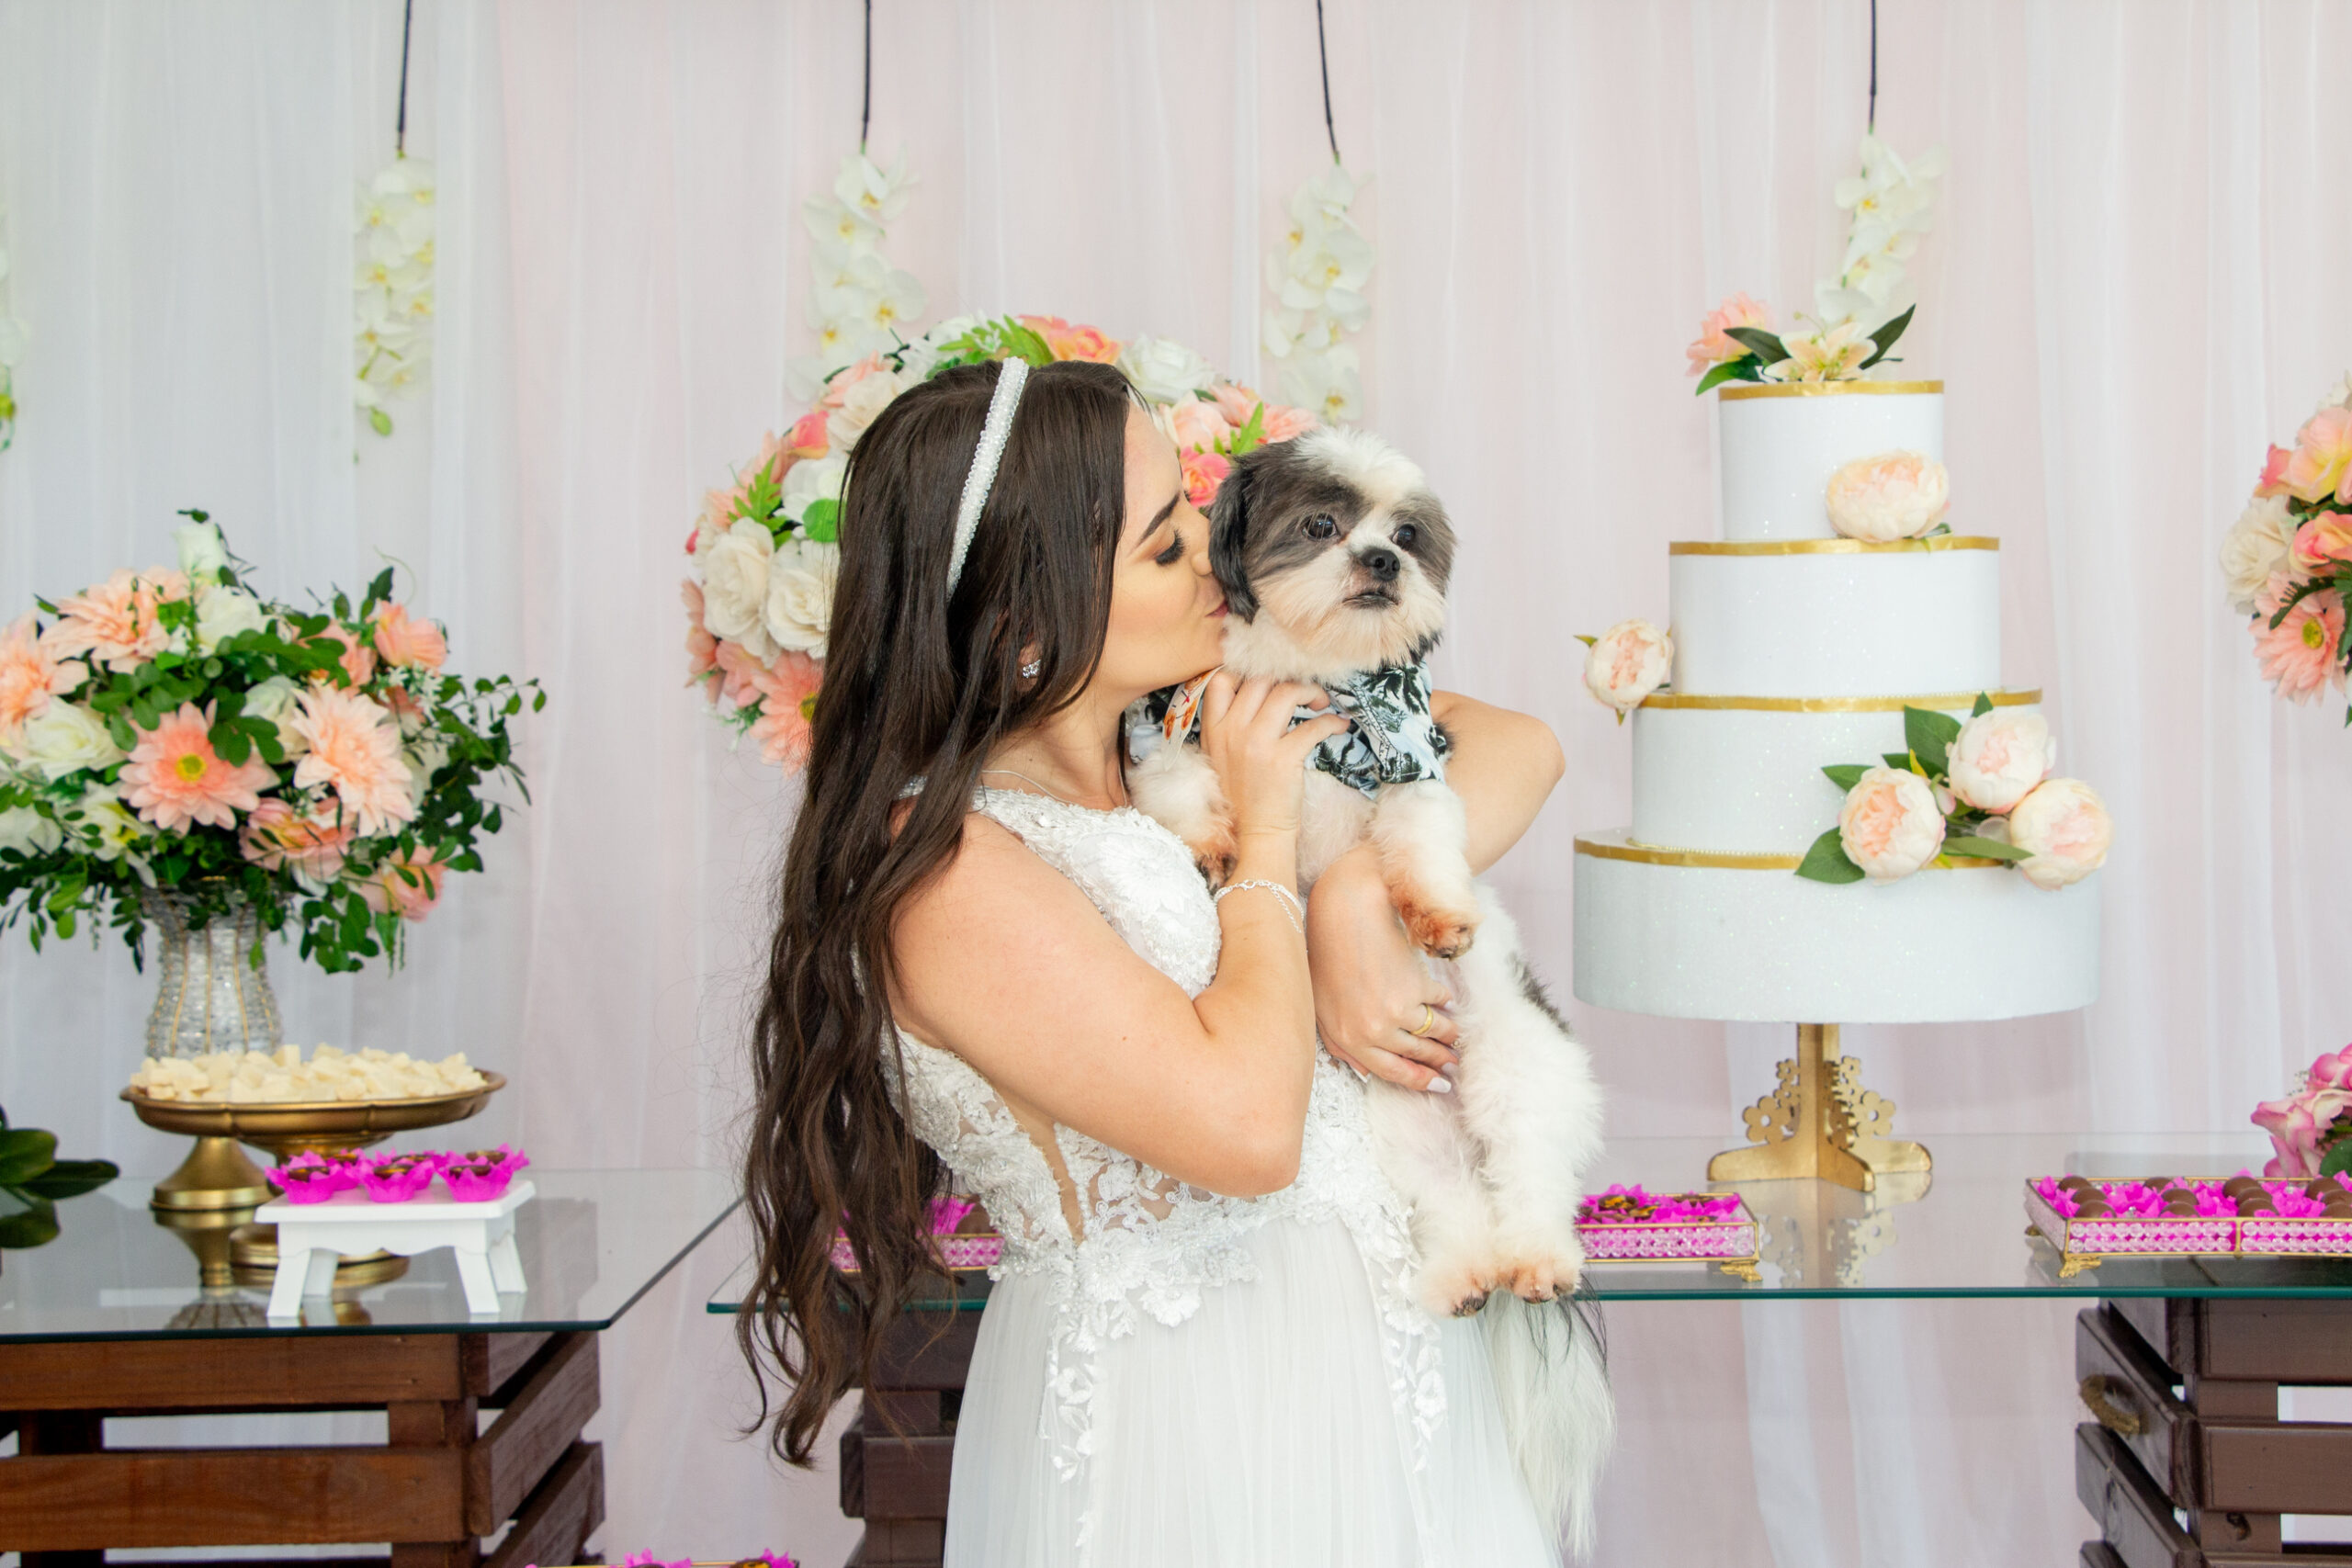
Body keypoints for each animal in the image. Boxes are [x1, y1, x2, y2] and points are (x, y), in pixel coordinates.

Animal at [1124, 423, 1609, 1551]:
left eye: (1410, 536)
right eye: (1321, 524)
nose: (1380, 560)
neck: (1319, 688)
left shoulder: (1411, 760)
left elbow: (1419, 843)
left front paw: (1436, 913)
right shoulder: (1173, 724)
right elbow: (1176, 786)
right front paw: (1209, 839)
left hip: (1523, 1076)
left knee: (1531, 1182)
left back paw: (1537, 1258)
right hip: (1405, 1137)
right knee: (1452, 1210)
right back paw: (1463, 1276)